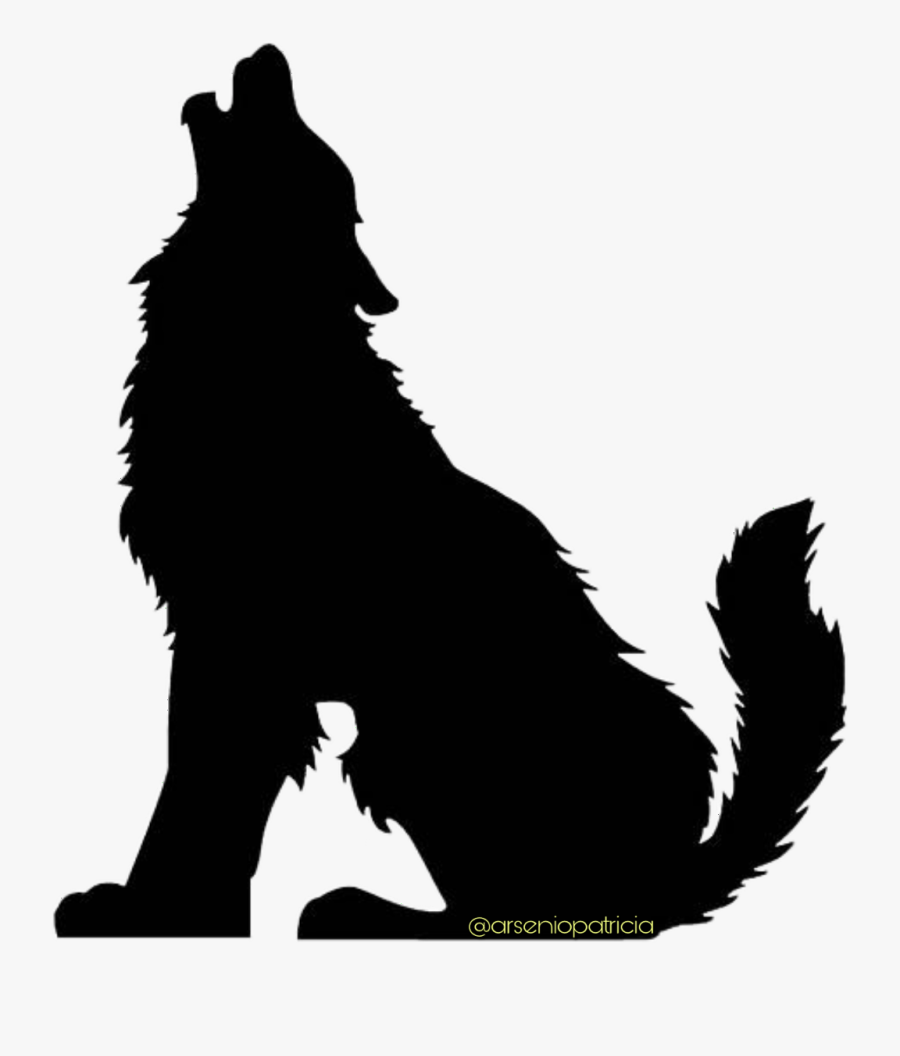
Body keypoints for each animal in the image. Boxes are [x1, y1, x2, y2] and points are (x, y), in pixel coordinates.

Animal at [55, 44, 844, 937]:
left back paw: (361, 912)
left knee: (512, 912)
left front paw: (156, 910)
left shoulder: (244, 643)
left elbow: (199, 791)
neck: (266, 350)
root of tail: (666, 876)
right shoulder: (213, 635)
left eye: (309, 147)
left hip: (418, 741)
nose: (270, 54)